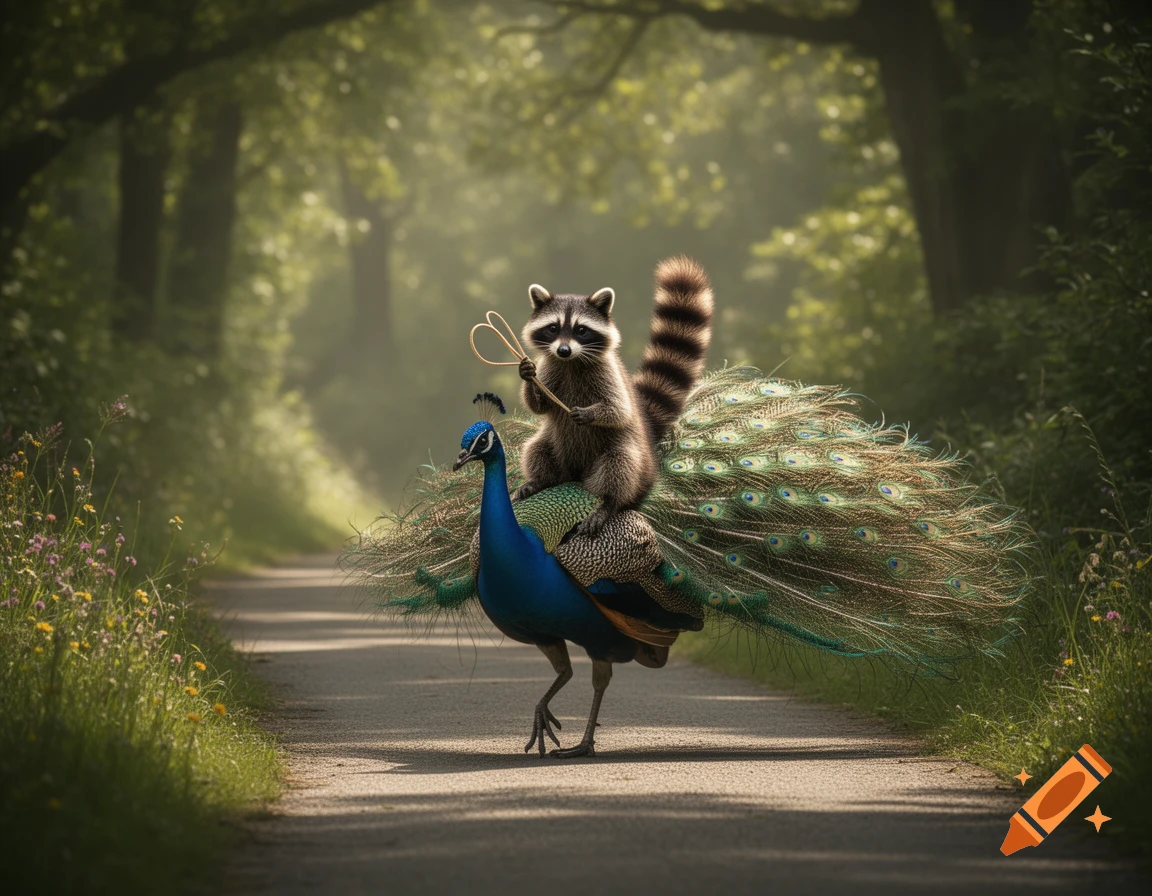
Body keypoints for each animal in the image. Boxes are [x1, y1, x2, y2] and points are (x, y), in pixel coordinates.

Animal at [514, 255, 714, 536]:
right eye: (553, 328)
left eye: (581, 330)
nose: (563, 350)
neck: (571, 362)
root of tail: (575, 475)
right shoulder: (551, 367)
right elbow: (540, 406)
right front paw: (527, 376)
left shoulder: (608, 372)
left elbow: (619, 410)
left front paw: (589, 414)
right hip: (554, 446)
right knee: (536, 448)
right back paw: (540, 480)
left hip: (628, 457)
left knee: (619, 464)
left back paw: (609, 503)